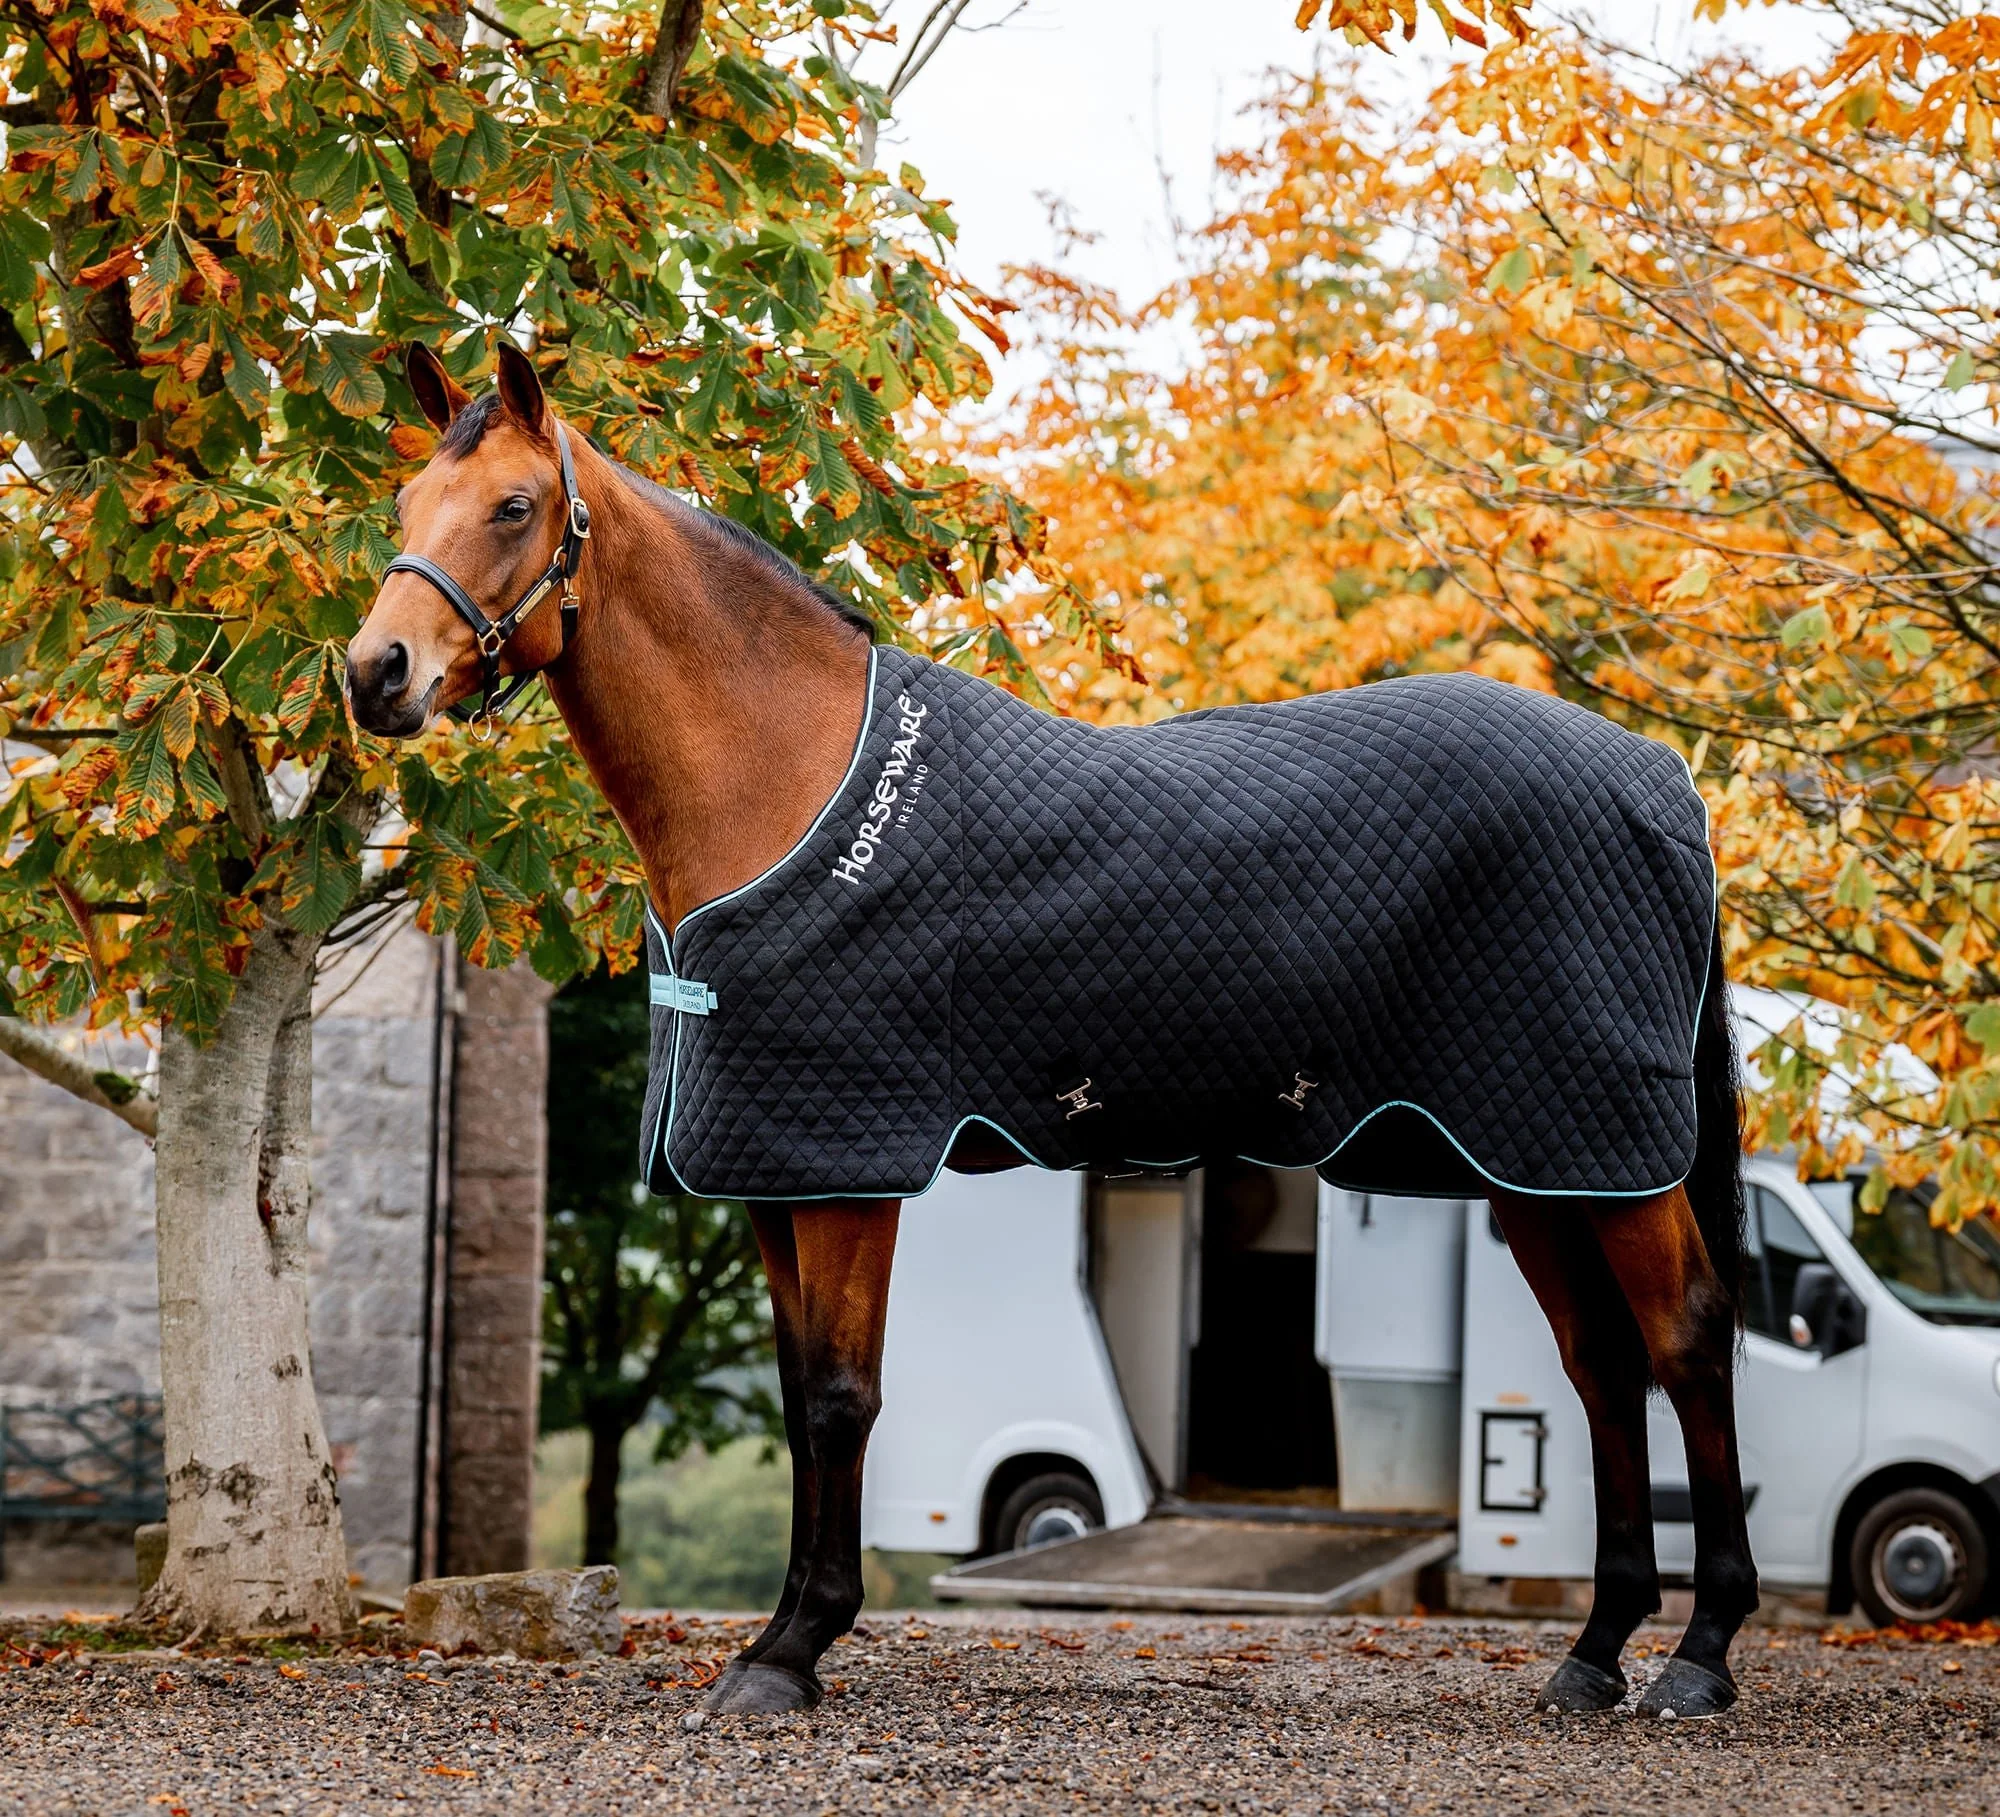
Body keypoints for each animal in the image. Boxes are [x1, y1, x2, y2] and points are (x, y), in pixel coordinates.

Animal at [347, 341, 1757, 1722]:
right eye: (404, 505)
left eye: (513, 507)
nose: (375, 675)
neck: (790, 779)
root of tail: (1658, 778)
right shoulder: (772, 1169)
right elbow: (804, 1401)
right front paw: (784, 1636)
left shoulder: (852, 1166)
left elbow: (843, 1396)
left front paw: (790, 1648)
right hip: (1535, 1154)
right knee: (1599, 1363)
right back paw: (1595, 1649)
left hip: (1604, 1146)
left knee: (1685, 1338)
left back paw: (1697, 1653)